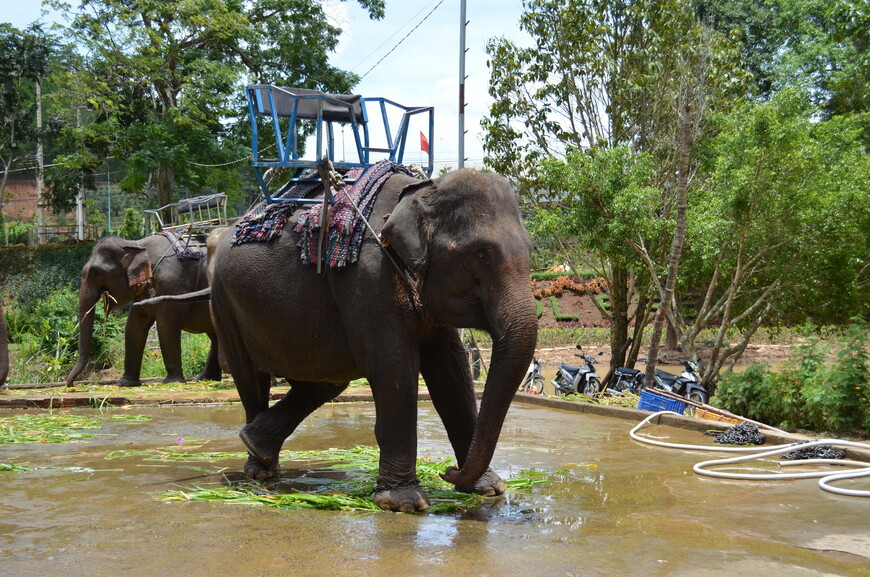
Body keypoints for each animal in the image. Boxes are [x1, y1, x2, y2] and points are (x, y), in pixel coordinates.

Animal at [65, 234, 221, 388]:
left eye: (96, 272)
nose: (72, 385)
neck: (137, 244)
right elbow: (134, 327)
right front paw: (125, 383)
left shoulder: (172, 282)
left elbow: (166, 326)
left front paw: (172, 382)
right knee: (215, 336)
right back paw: (205, 378)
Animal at [208, 166, 540, 508]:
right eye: (481, 253)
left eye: (531, 251)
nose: (446, 471)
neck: (421, 192)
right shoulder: (367, 275)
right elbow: (395, 367)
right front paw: (405, 502)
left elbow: (452, 370)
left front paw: (488, 488)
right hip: (224, 302)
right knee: (251, 380)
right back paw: (258, 468)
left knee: (327, 379)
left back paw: (256, 444)